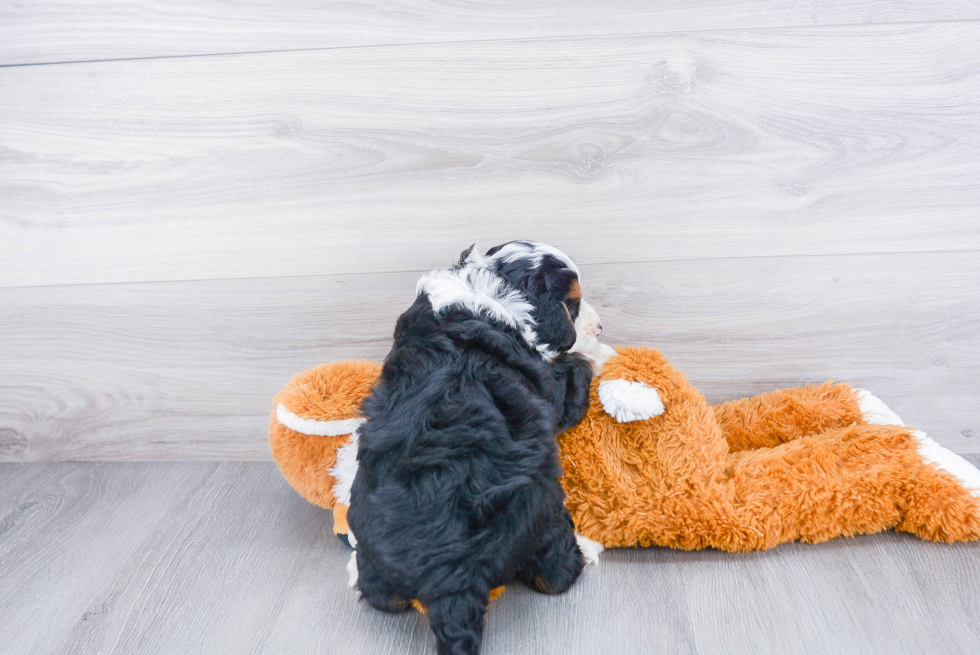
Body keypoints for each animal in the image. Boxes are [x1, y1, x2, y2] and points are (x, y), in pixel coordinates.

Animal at [344, 242, 604, 655]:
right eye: (573, 304)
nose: (600, 327)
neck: (488, 290)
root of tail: (446, 580)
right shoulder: (552, 395)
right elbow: (575, 372)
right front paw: (592, 354)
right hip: (542, 508)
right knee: (554, 574)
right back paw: (585, 549)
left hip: (376, 552)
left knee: (382, 597)